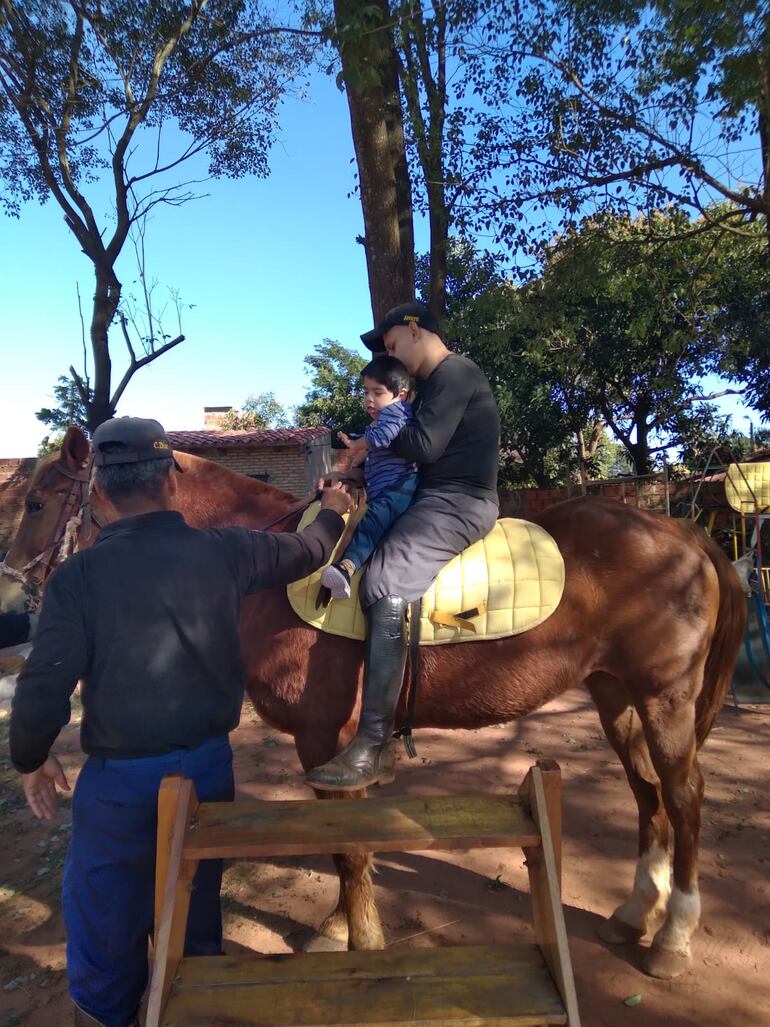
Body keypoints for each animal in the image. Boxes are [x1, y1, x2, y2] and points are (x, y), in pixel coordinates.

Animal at [3, 425, 743, 977]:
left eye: (35, 504)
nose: (13, 585)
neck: (274, 565)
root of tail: (682, 535)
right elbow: (337, 841)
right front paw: (340, 925)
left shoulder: (325, 736)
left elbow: (349, 846)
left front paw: (361, 937)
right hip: (616, 693)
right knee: (646, 791)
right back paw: (634, 914)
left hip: (665, 697)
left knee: (684, 796)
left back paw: (672, 937)